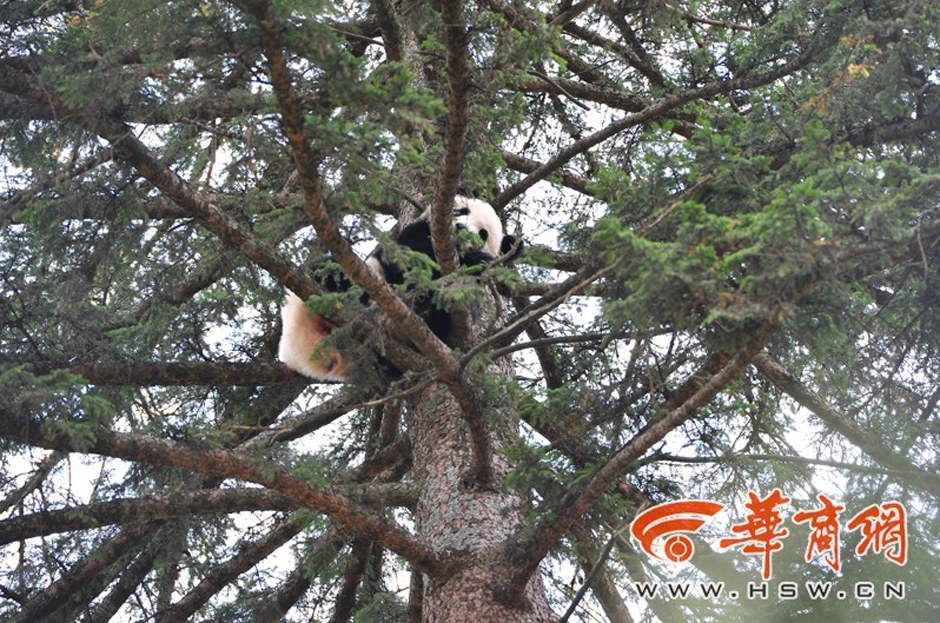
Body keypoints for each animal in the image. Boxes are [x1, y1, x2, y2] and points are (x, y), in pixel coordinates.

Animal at [278, 196, 522, 381]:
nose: (460, 228)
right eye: (462, 210)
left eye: (483, 233)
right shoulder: (416, 232)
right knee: (331, 271)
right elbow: (406, 261)